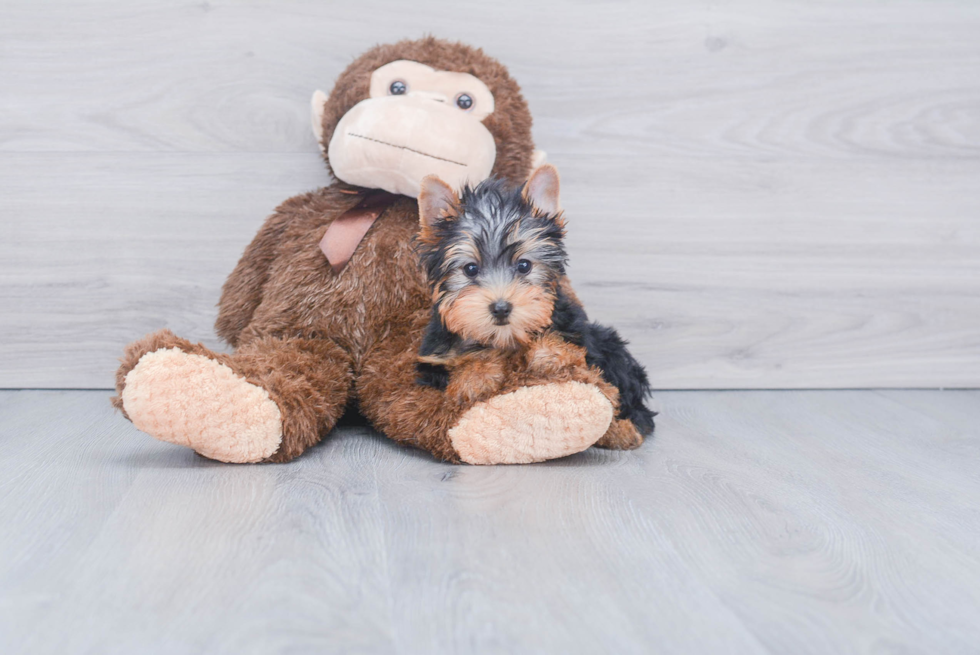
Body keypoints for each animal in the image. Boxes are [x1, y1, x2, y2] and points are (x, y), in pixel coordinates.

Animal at [412, 165, 652, 440]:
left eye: (524, 265)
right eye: (470, 269)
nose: (501, 308)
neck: (504, 339)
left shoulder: (580, 338)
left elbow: (566, 350)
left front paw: (547, 353)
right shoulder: (433, 363)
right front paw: (475, 376)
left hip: (610, 345)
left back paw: (626, 430)